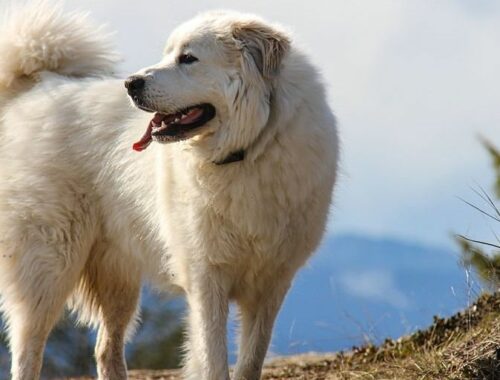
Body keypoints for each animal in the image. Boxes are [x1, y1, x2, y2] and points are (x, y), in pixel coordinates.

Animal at [0, 2, 340, 380]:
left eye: (188, 58)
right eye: (168, 54)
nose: (130, 83)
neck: (249, 149)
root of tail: (37, 88)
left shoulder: (272, 283)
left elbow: (251, 359)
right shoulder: (206, 277)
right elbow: (213, 358)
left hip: (118, 278)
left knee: (106, 348)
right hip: (49, 265)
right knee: (28, 350)